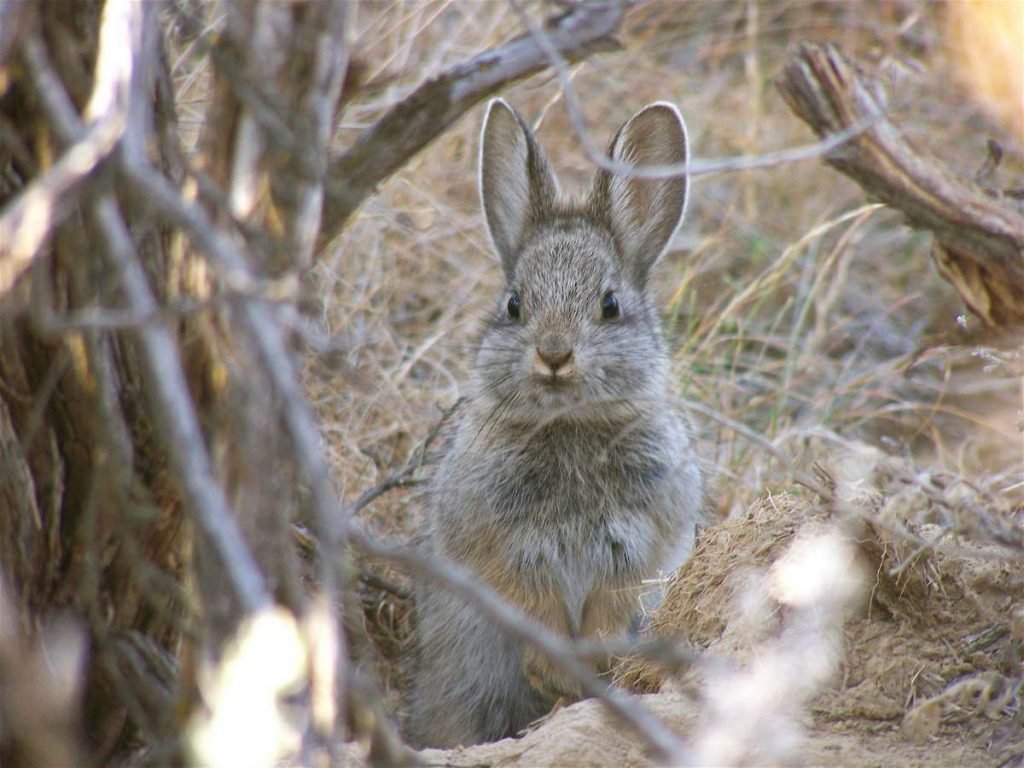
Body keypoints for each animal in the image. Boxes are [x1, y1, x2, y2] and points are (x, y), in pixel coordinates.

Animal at [405, 99, 704, 749]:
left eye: (610, 305)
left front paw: (591, 666)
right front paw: (553, 670)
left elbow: (614, 605)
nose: (554, 354)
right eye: (514, 305)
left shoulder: (641, 542)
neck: (568, 425)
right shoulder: (499, 544)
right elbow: (526, 603)